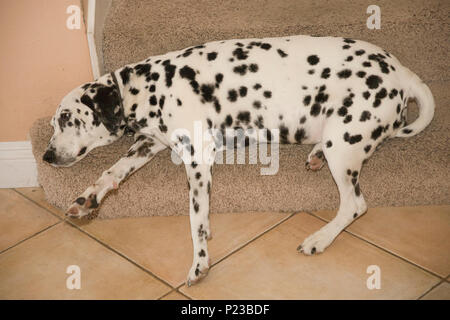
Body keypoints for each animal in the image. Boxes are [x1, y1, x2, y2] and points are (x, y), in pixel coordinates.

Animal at [44, 34, 434, 284]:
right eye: (55, 121)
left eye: (66, 118)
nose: (46, 155)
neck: (149, 87)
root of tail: (402, 72)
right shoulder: (147, 145)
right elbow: (110, 173)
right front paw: (87, 198)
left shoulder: (197, 159)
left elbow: (196, 220)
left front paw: (200, 262)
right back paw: (314, 155)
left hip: (343, 143)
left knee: (354, 205)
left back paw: (320, 238)